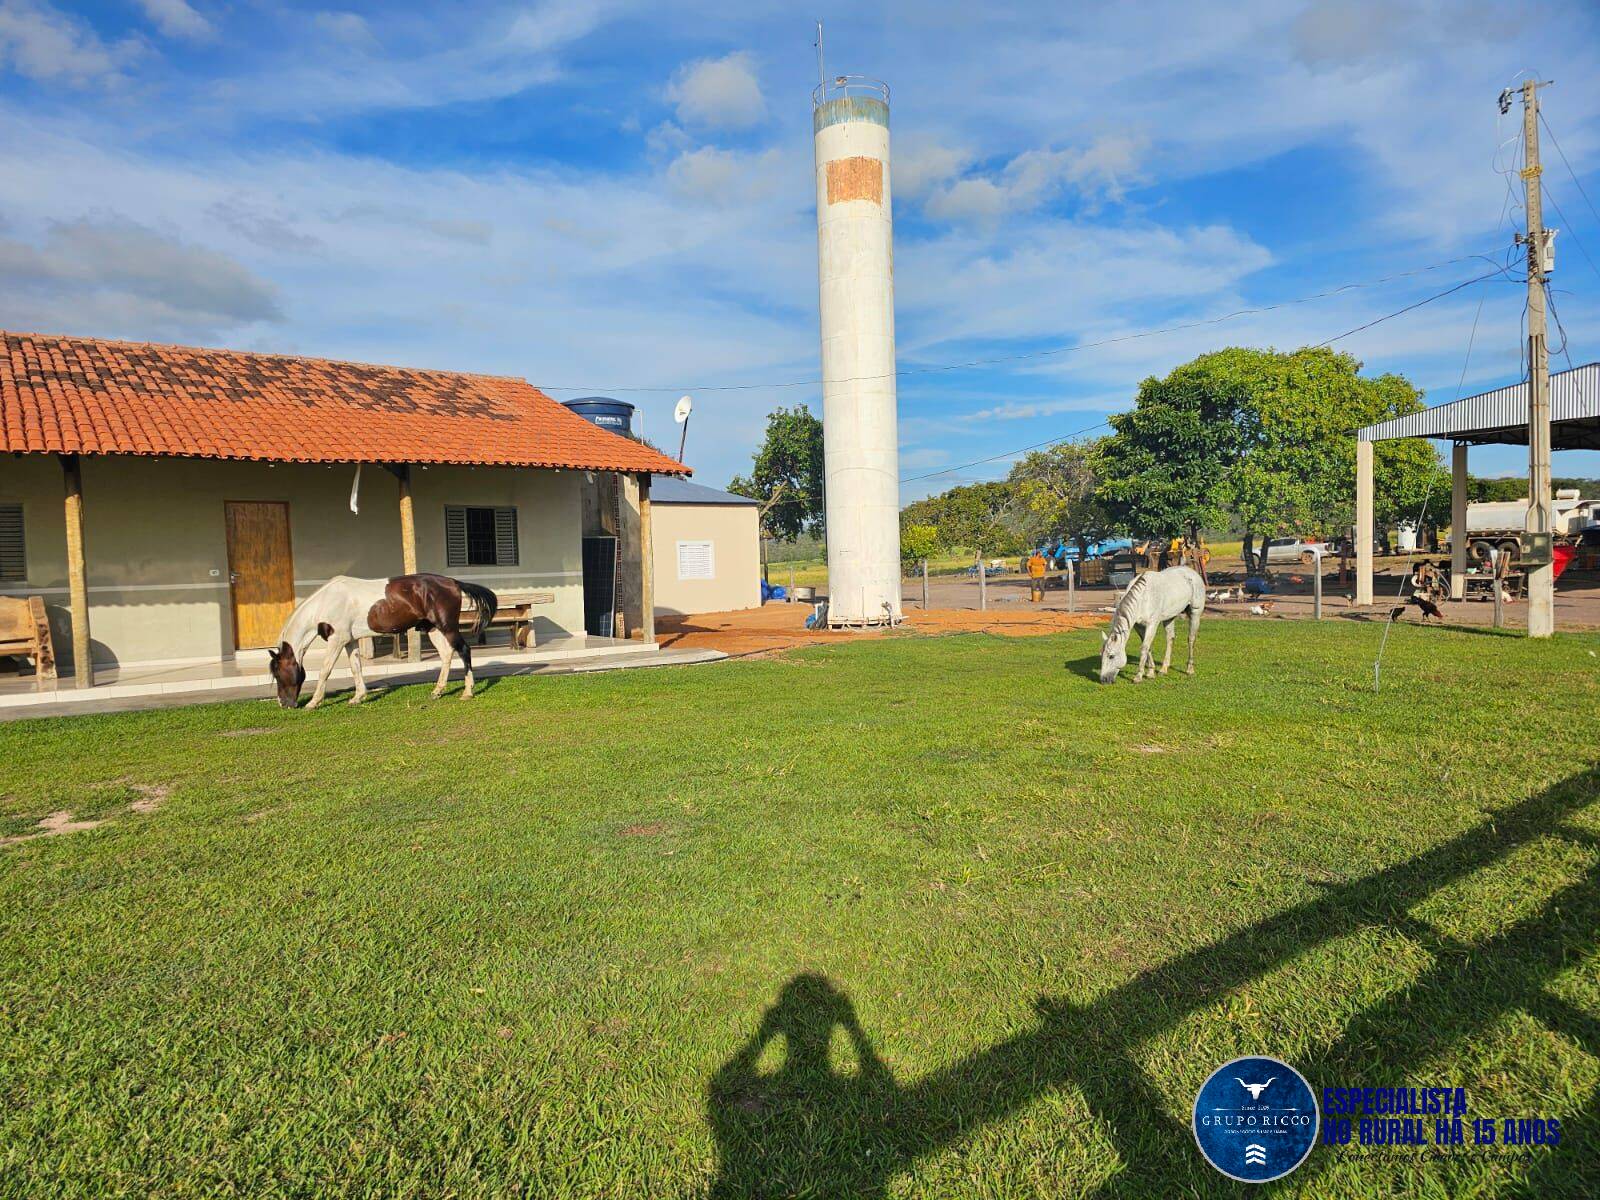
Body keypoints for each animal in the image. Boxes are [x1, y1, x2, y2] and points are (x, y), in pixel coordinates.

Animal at [267, 576, 499, 710]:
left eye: (278, 673)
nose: (284, 704)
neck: (327, 602)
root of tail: (453, 583)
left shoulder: (337, 640)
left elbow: (325, 670)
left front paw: (314, 702)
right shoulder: (350, 640)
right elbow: (356, 668)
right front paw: (358, 697)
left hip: (447, 627)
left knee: (464, 650)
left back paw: (467, 692)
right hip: (433, 628)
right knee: (446, 654)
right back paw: (437, 691)